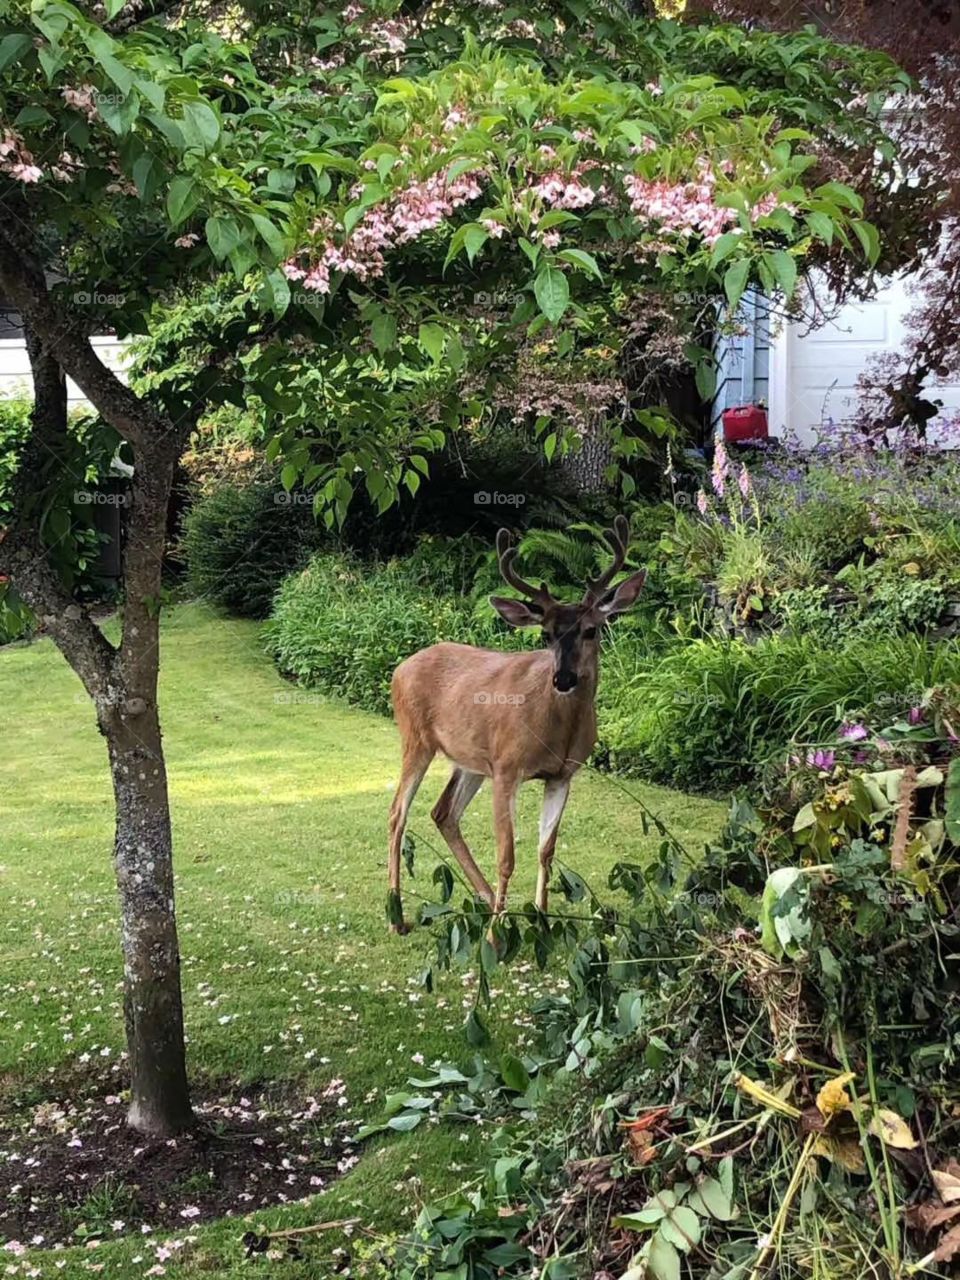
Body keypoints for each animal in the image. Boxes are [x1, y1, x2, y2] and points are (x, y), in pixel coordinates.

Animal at [387, 516, 646, 934]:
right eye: (546, 634)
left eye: (591, 629)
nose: (563, 678)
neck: (556, 729)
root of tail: (400, 668)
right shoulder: (508, 768)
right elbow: (507, 855)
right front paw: (496, 937)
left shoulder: (562, 774)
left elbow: (546, 850)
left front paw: (542, 919)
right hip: (416, 739)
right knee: (398, 813)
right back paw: (397, 916)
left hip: (471, 760)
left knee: (443, 813)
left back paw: (489, 899)